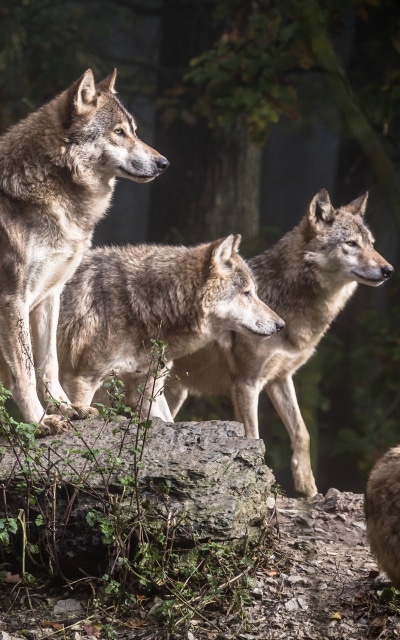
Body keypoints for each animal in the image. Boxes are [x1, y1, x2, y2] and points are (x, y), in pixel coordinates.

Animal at [0, 68, 168, 433]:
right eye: (119, 132)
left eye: (134, 130)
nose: (164, 162)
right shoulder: (12, 298)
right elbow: (24, 370)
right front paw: (39, 422)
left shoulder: (50, 295)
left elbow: (47, 364)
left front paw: (67, 408)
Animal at [56, 235, 285, 421]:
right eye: (247, 293)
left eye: (254, 292)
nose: (281, 325)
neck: (141, 303)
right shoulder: (81, 379)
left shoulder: (147, 388)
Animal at [165, 190, 394, 496]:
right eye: (351, 243)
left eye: (371, 244)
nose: (388, 269)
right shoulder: (246, 383)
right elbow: (253, 437)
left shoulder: (280, 377)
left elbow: (302, 432)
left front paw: (307, 486)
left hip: (175, 392)